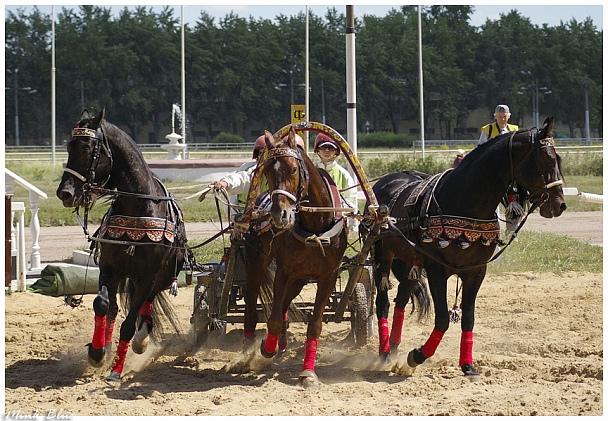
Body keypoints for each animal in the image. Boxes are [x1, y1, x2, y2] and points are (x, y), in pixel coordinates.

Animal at [56, 107, 188, 380]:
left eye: (87, 148)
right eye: (69, 146)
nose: (65, 193)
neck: (138, 207)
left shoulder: (149, 274)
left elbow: (129, 324)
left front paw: (116, 369)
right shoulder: (110, 267)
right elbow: (102, 305)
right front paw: (97, 353)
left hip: (162, 276)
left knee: (146, 304)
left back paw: (141, 339)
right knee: (115, 309)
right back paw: (107, 347)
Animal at [247, 128, 350, 388]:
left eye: (293, 169)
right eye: (267, 171)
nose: (279, 214)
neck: (315, 226)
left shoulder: (327, 276)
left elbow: (314, 325)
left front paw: (308, 372)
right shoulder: (284, 271)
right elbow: (272, 318)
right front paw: (268, 348)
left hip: (300, 279)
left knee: (284, 305)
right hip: (258, 262)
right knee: (254, 302)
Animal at [370, 117, 564, 378]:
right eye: (547, 159)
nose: (560, 204)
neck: (462, 201)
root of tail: (385, 182)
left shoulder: (476, 271)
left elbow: (468, 318)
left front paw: (467, 365)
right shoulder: (436, 270)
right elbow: (443, 319)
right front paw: (416, 356)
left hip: (411, 261)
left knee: (401, 299)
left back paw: (393, 346)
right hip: (382, 254)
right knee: (382, 302)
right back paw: (385, 352)